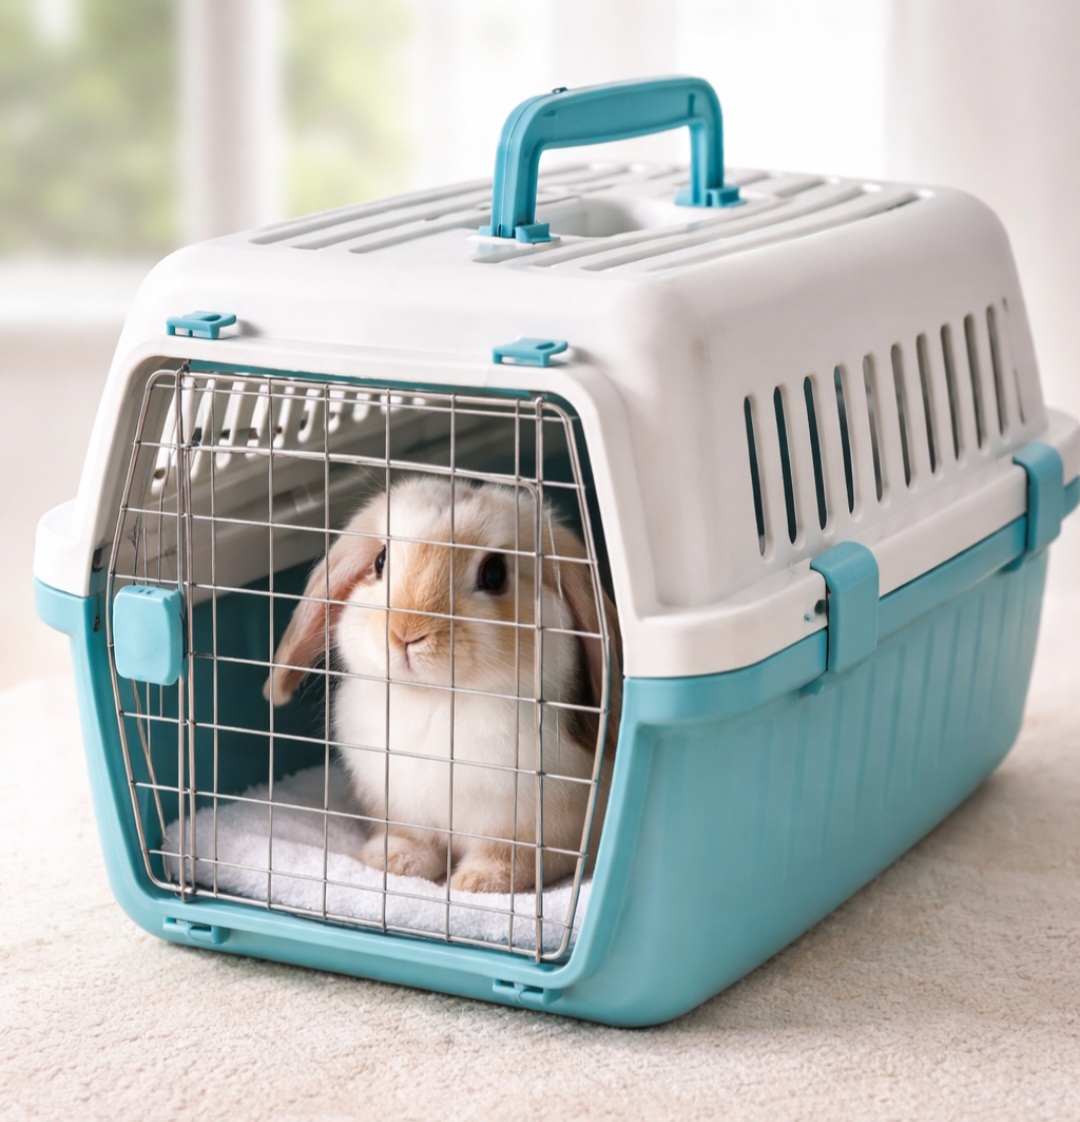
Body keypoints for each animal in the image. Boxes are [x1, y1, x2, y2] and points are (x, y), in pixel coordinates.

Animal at [263, 475, 622, 894]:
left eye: (495, 573)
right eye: (381, 560)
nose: (405, 632)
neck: (436, 701)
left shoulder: (529, 828)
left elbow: (512, 858)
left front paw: (476, 883)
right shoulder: (402, 810)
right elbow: (414, 839)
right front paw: (391, 861)